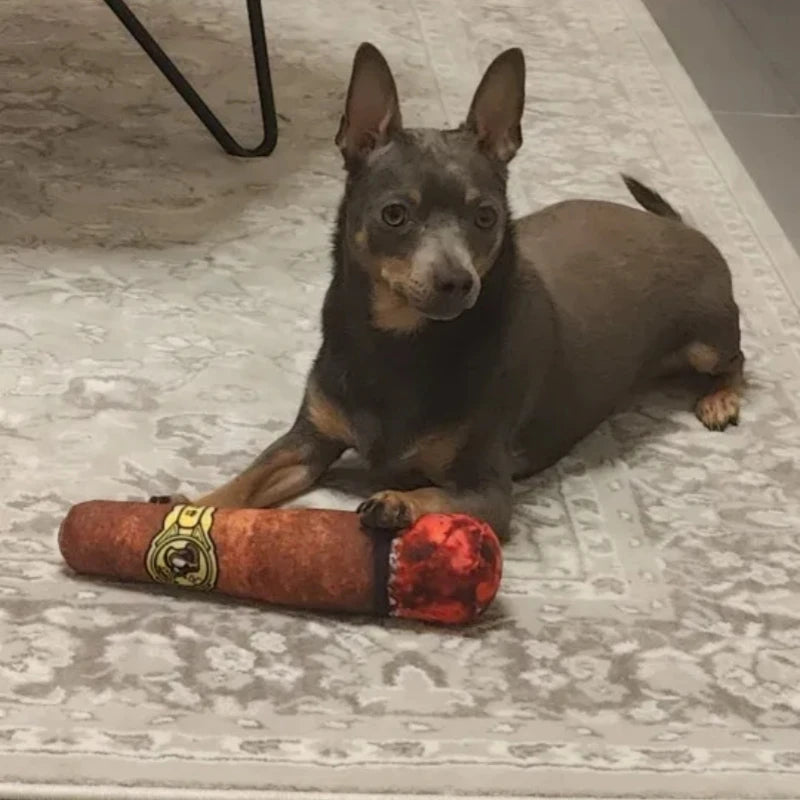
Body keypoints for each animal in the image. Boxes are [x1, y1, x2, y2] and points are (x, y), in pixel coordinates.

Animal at [152, 43, 744, 544]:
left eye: (486, 216)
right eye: (395, 215)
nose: (458, 281)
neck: (398, 343)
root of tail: (680, 226)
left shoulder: (486, 490)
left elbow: (432, 494)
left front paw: (398, 500)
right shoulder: (306, 444)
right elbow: (244, 482)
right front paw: (190, 505)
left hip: (707, 340)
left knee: (737, 359)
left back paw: (721, 399)